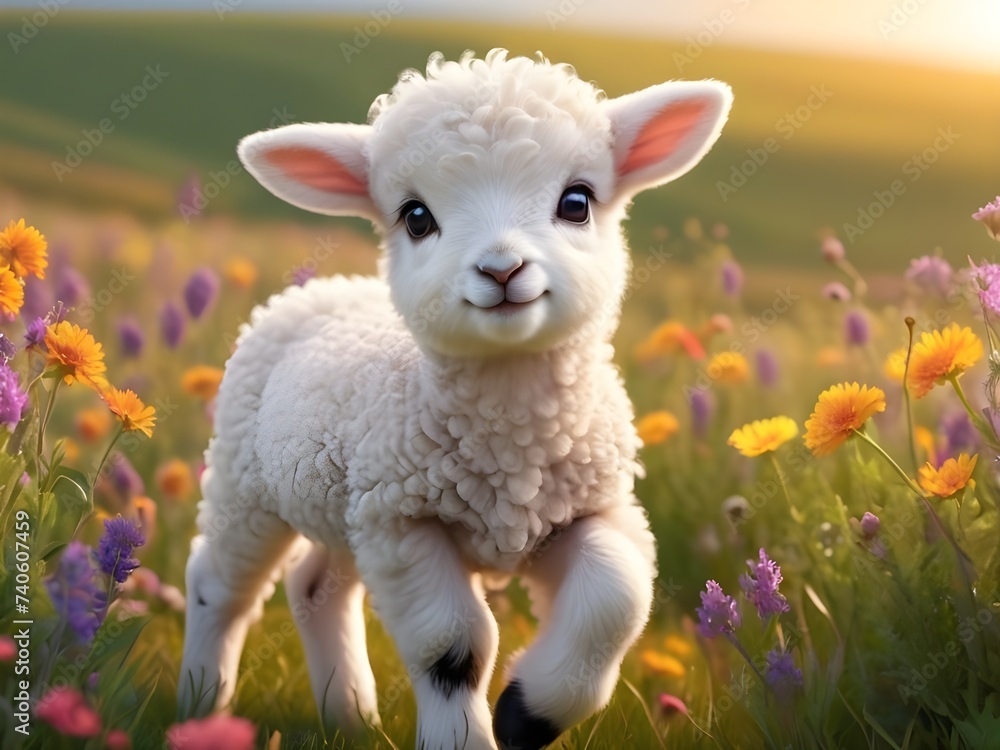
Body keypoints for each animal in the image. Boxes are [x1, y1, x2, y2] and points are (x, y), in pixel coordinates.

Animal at [177, 49, 731, 750]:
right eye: (417, 217)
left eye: (577, 202)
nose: (501, 269)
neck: (511, 445)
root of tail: (322, 287)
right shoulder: (404, 523)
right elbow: (451, 646)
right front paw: (468, 733)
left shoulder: (591, 509)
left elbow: (616, 602)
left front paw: (527, 713)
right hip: (247, 485)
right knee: (217, 586)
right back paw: (201, 703)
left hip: (343, 507)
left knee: (313, 587)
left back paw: (350, 717)